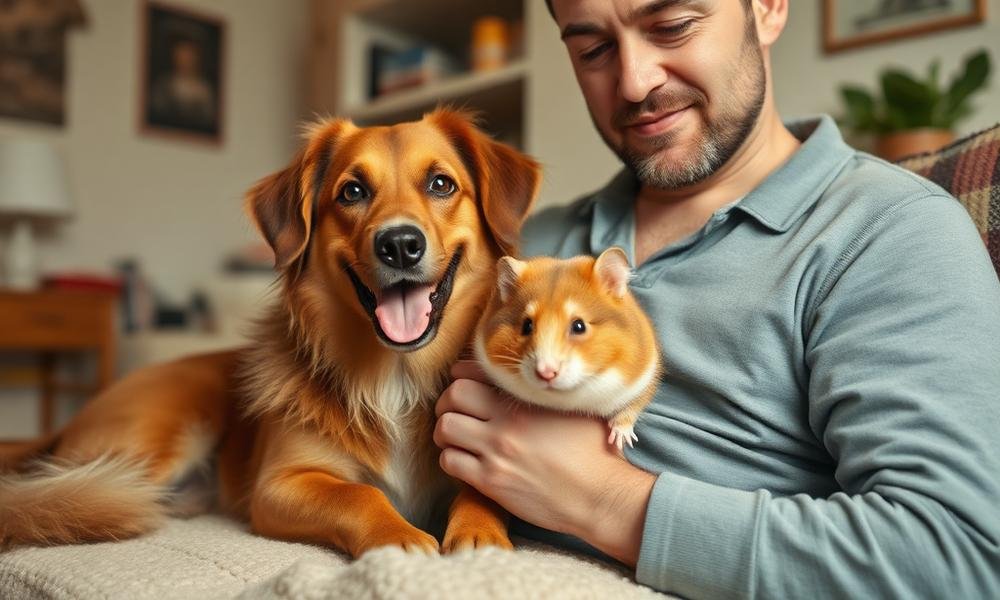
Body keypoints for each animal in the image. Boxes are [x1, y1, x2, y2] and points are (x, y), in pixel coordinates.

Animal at [475, 247, 662, 449]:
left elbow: (631, 409)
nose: (546, 373)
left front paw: (619, 441)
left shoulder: (644, 380)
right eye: (526, 325)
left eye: (579, 326)